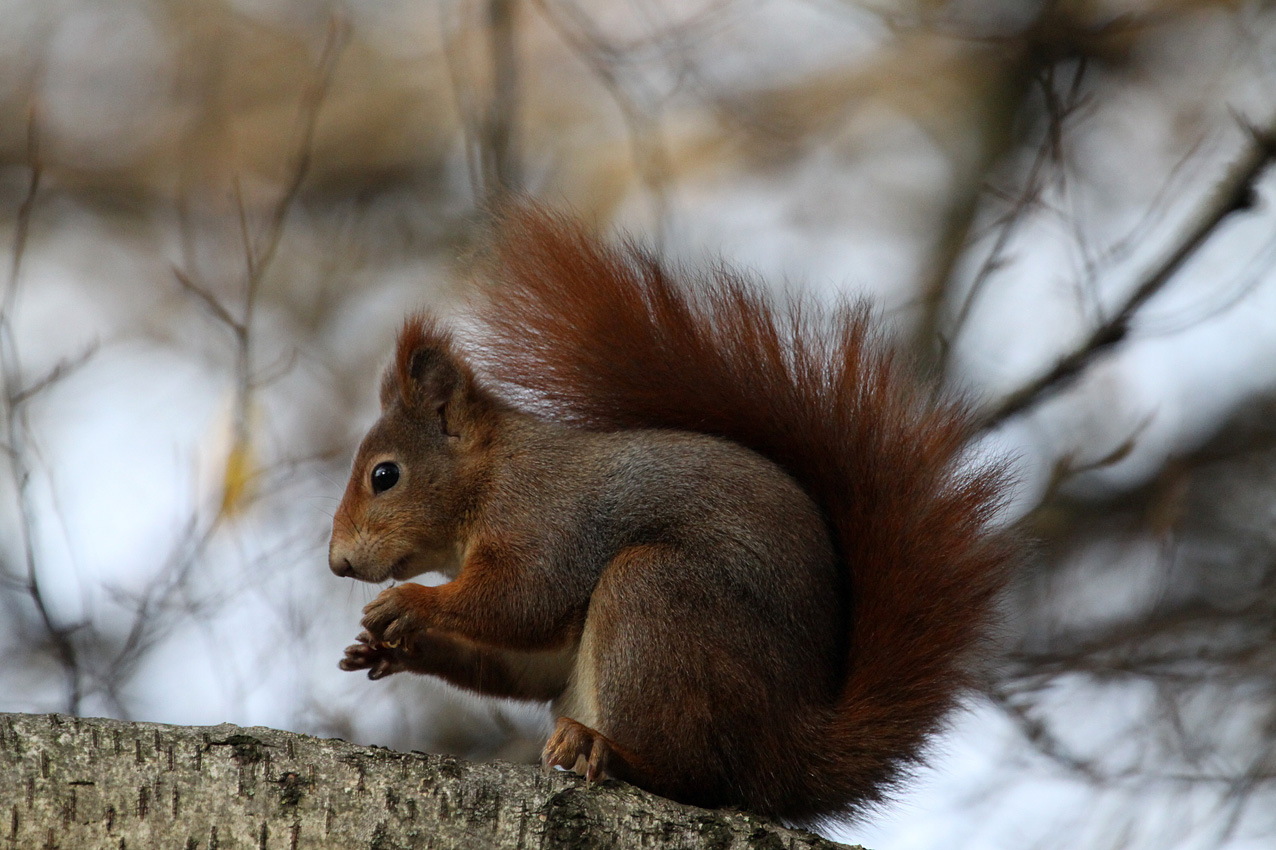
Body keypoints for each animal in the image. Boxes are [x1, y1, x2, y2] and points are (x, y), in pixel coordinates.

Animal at [329, 201, 1015, 816]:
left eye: (385, 476)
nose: (337, 563)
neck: (493, 477)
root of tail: (791, 748)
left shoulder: (548, 519)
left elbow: (523, 599)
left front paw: (409, 604)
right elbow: (523, 661)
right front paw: (391, 649)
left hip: (656, 602)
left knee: (694, 775)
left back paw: (610, 751)